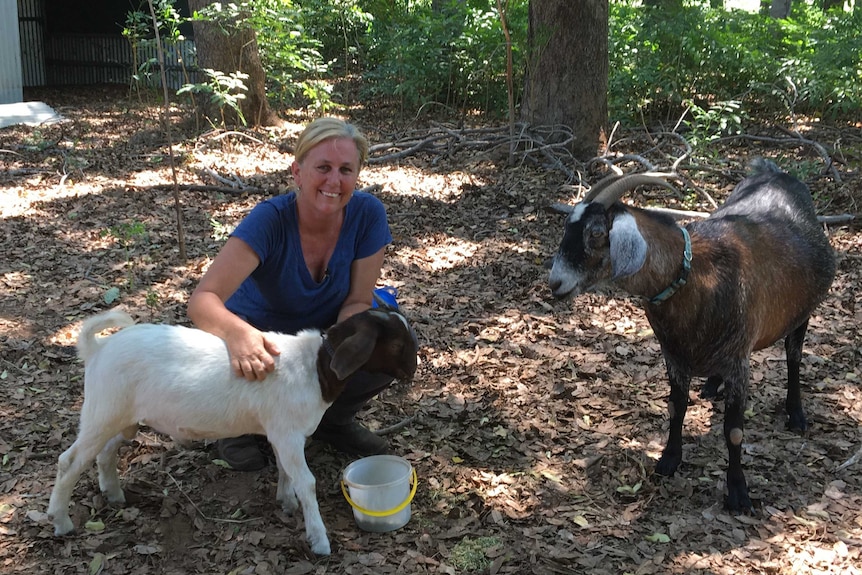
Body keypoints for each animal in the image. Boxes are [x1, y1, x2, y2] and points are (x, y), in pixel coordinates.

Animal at [47, 308, 418, 556]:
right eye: (398, 344)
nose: (414, 369)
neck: (315, 367)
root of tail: (97, 350)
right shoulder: (288, 433)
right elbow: (306, 482)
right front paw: (319, 540)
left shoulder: (280, 432)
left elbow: (286, 471)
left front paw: (286, 502)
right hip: (103, 409)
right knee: (69, 460)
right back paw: (60, 521)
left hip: (120, 415)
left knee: (105, 451)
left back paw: (113, 493)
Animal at [552, 160, 840, 510]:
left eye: (596, 233)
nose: (555, 283)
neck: (694, 276)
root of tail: (774, 171)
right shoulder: (675, 356)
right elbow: (676, 408)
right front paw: (669, 459)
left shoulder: (739, 361)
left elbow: (734, 431)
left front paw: (738, 491)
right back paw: (712, 385)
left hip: (802, 313)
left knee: (794, 355)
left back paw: (796, 414)